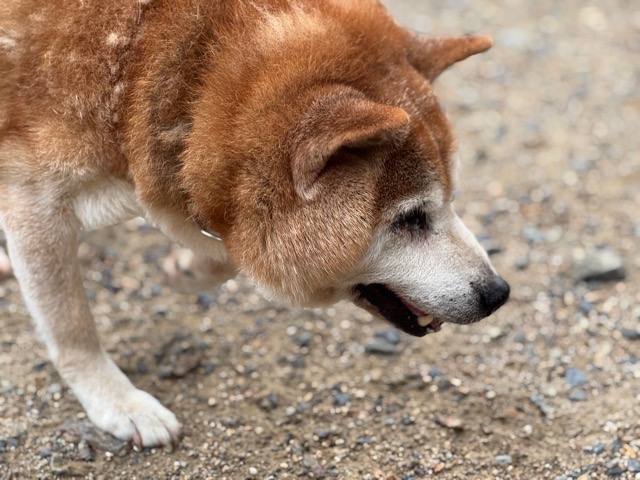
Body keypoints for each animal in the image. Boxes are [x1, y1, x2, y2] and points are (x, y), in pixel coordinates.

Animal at [0, 0, 510, 447]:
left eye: (451, 199)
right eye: (410, 218)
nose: (498, 293)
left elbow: (221, 248)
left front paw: (187, 269)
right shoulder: (34, 199)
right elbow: (72, 326)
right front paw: (119, 404)